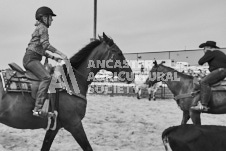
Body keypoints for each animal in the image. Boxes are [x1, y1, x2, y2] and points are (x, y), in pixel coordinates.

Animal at [0, 32, 134, 150]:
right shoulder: (75, 124)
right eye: (119, 53)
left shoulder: (53, 128)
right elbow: (87, 147)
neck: (69, 84)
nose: (131, 75)